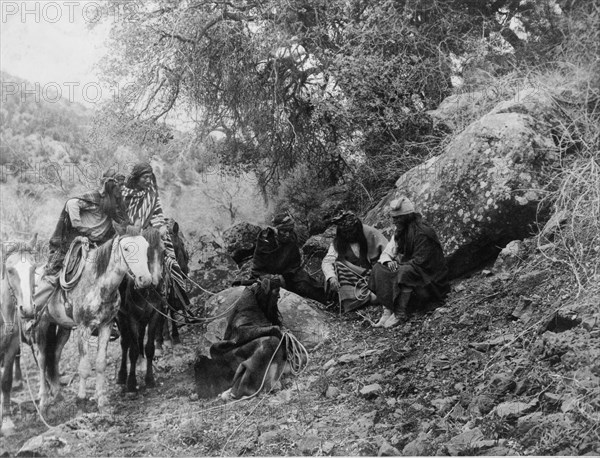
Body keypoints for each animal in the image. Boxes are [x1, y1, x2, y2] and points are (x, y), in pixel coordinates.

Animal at [36, 231, 154, 414]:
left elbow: (100, 363)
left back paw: (57, 394)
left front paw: (102, 400)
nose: (145, 279)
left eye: (146, 247)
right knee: (42, 360)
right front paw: (81, 401)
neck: (98, 285)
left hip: (63, 327)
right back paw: (43, 401)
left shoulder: (106, 325)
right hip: (43, 324)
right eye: (127, 249)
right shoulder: (84, 329)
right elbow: (84, 367)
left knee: (54, 354)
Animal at [116, 227, 164, 392]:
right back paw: (122, 375)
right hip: (121, 317)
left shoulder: (155, 313)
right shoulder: (131, 318)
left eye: (163, 251)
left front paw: (150, 379)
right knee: (125, 343)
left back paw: (142, 365)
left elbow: (149, 347)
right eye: (147, 253)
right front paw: (131, 383)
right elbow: (133, 350)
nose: (154, 281)